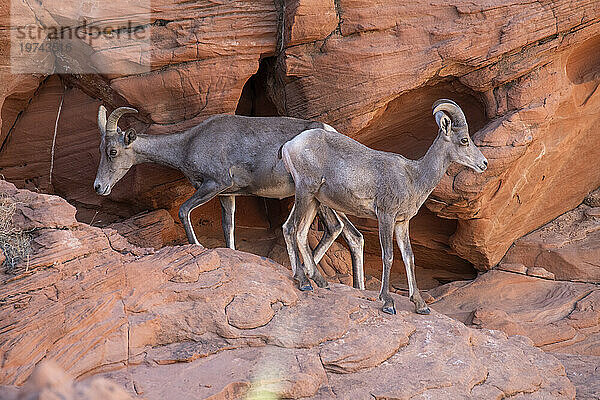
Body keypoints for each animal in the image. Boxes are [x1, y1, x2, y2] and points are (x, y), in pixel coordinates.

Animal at [94, 105, 366, 290]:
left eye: (113, 151)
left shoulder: (215, 184)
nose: (98, 187)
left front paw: (197, 245)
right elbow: (228, 228)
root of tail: (329, 131)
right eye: (101, 150)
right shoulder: (227, 195)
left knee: (335, 228)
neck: (188, 144)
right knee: (349, 233)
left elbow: (183, 210)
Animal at [282, 98, 488, 314]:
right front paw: (388, 302)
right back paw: (303, 282)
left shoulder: (402, 223)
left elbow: (408, 257)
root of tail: (289, 145)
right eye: (464, 140)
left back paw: (320, 282)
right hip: (305, 192)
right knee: (290, 228)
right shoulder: (386, 216)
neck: (413, 178)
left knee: (301, 233)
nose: (484, 164)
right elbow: (388, 255)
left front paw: (421, 305)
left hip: (315, 200)